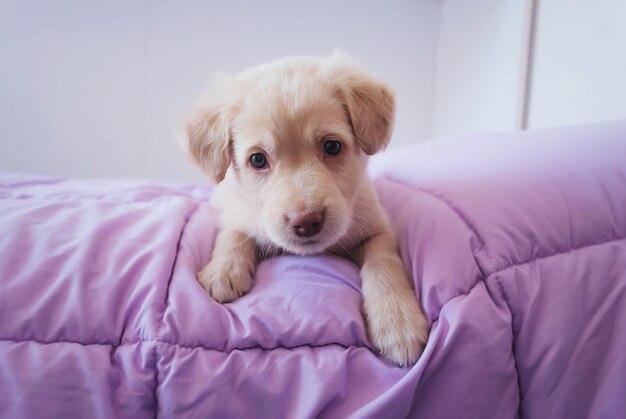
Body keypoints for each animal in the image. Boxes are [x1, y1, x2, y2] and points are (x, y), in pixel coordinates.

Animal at [178, 52, 426, 368]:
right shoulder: (236, 210)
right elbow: (233, 233)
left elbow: (383, 264)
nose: (306, 221)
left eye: (332, 147)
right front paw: (223, 270)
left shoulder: (377, 227)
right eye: (258, 160)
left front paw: (398, 322)